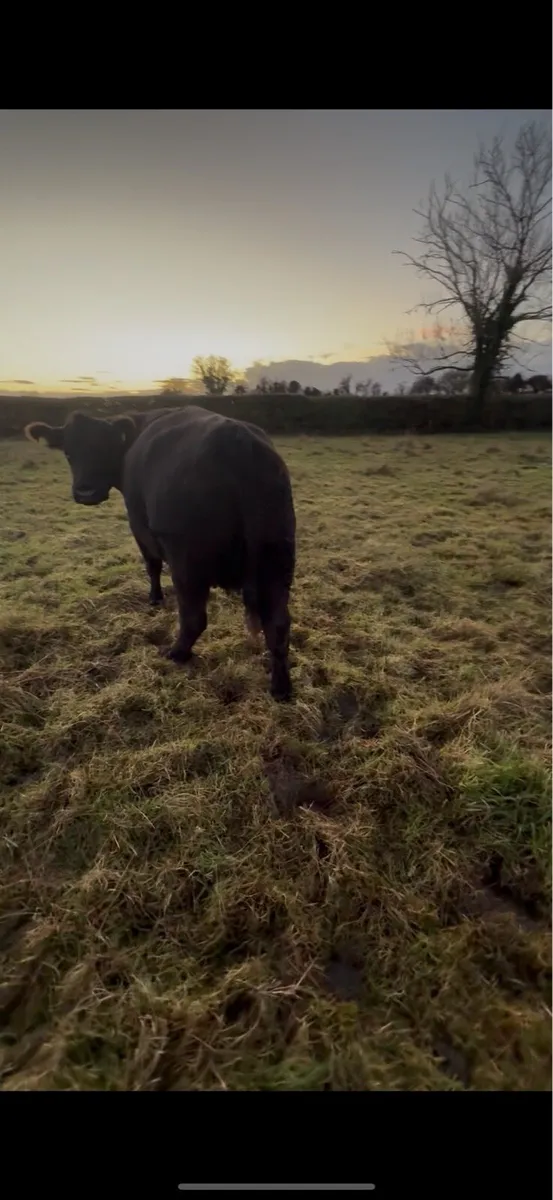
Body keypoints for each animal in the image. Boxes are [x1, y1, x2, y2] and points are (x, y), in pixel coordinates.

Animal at [25, 406, 296, 700]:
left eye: (103, 446)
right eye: (68, 452)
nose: (86, 492)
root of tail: (238, 441)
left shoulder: (140, 527)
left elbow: (152, 565)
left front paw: (154, 598)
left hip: (186, 560)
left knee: (194, 618)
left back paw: (176, 653)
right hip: (277, 556)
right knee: (278, 626)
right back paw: (280, 688)